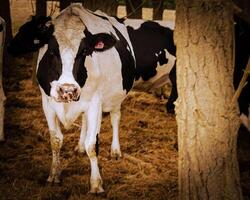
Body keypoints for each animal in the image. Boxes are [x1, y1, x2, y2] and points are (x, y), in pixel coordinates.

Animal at [8, 4, 137, 192]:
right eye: (52, 50)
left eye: (84, 51)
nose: (67, 90)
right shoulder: (47, 103)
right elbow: (55, 140)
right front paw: (54, 175)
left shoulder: (95, 103)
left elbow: (93, 144)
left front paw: (96, 183)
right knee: (84, 120)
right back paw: (80, 147)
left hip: (116, 96)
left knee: (115, 118)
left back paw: (115, 150)